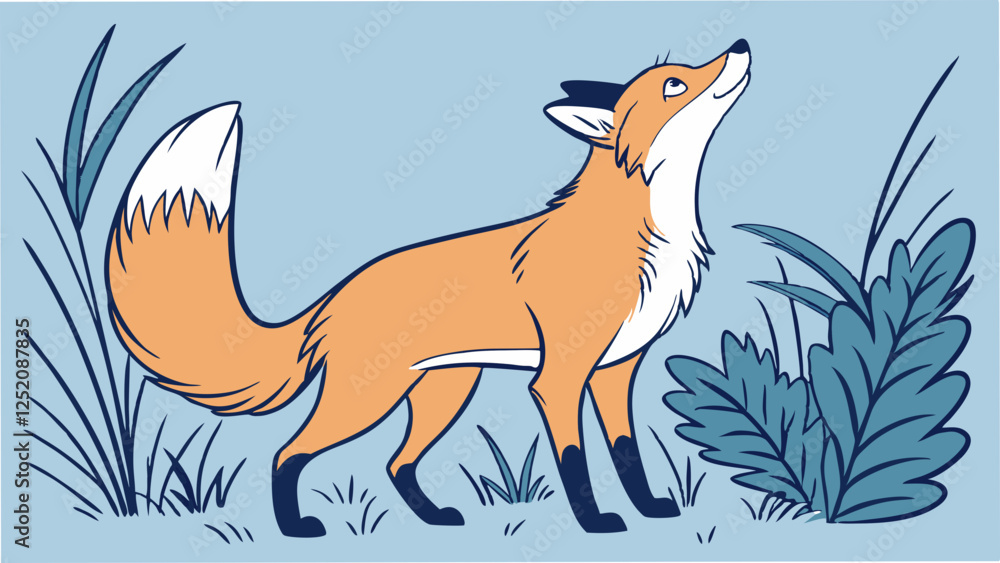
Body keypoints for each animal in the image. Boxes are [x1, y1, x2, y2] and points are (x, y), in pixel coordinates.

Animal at [106, 40, 751, 536]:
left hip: (444, 393)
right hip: (364, 400)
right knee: (288, 453)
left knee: (396, 464)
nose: (742, 45)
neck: (646, 234)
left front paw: (650, 511)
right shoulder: (560, 378)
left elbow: (628, 455)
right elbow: (576, 462)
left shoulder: (616, 372)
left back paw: (433, 519)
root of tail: (335, 295)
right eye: (674, 84)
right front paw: (595, 525)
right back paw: (295, 529)